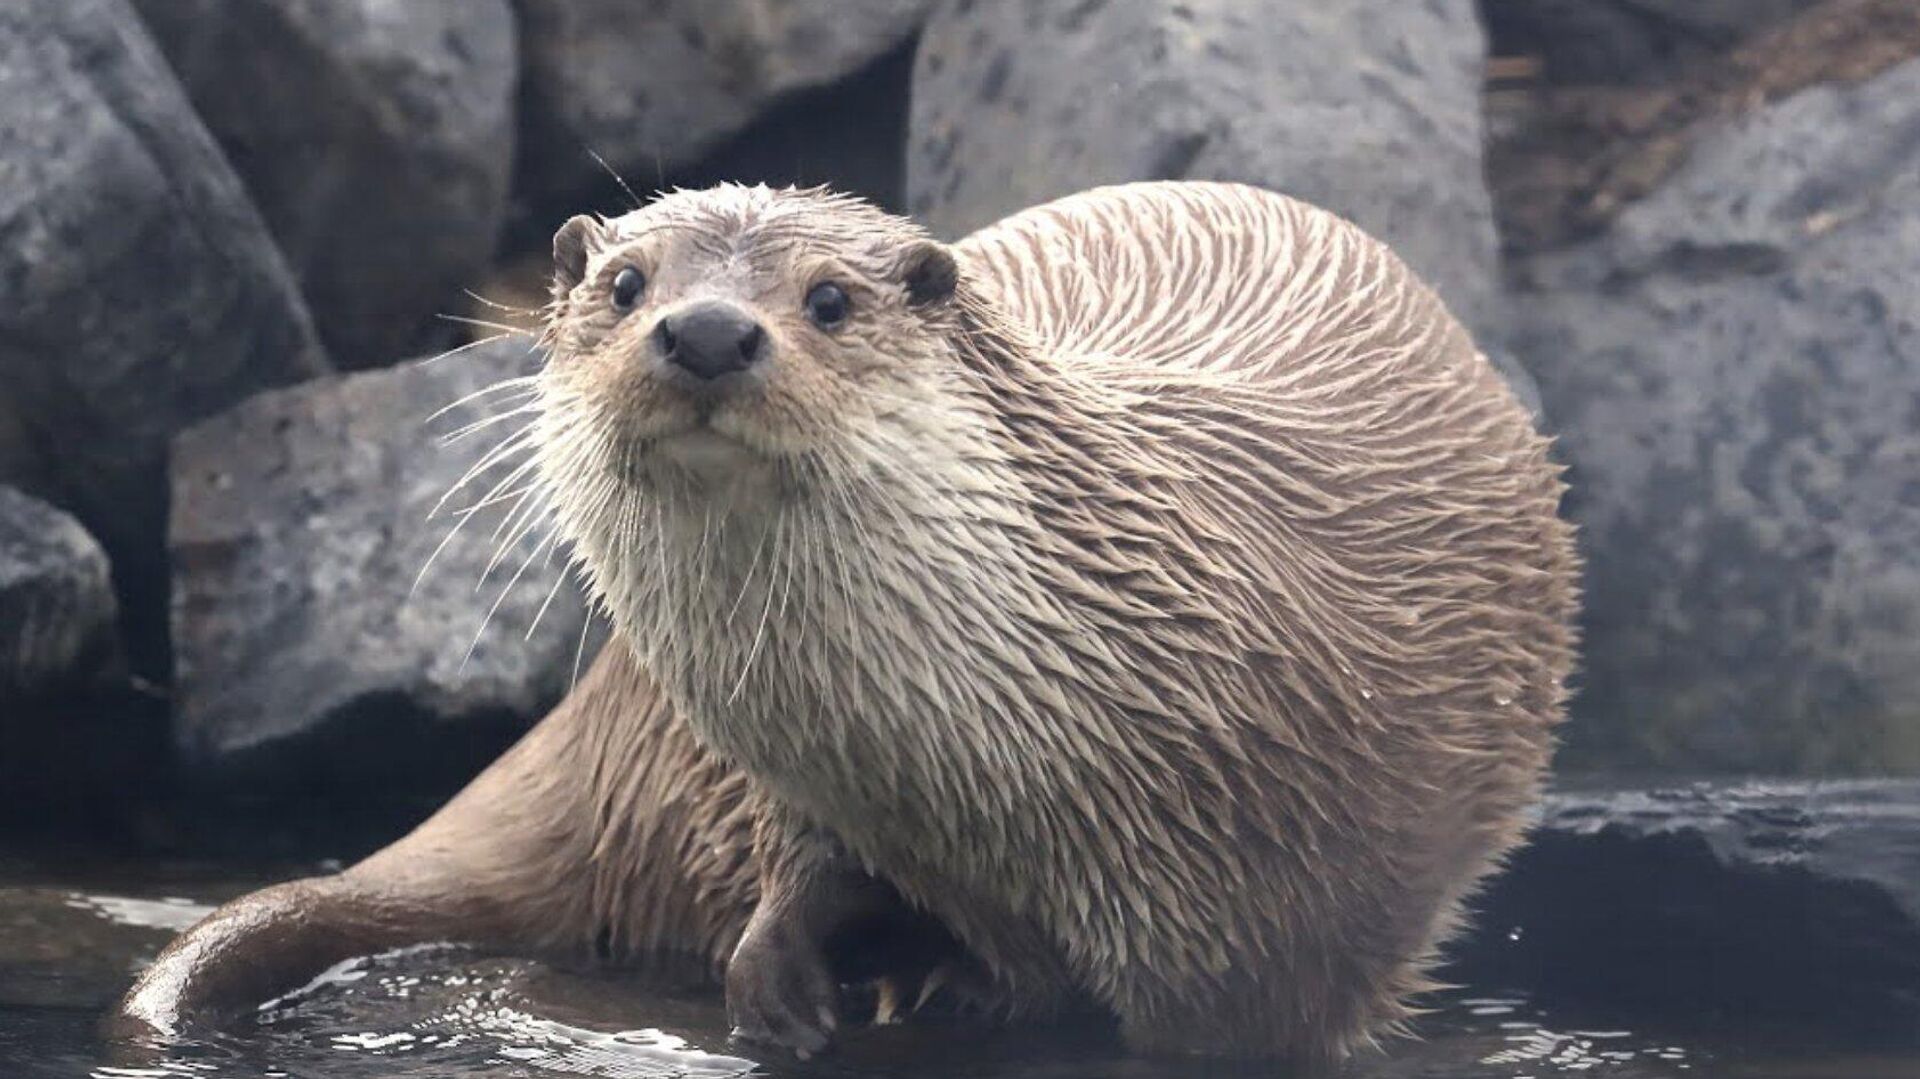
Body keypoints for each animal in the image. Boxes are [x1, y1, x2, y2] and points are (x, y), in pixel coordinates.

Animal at [116, 180, 1574, 1059]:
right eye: (627, 282)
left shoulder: (1290, 932)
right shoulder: (819, 776)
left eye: (829, 296)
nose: (708, 331)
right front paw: (788, 974)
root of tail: (599, 726)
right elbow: (803, 853)